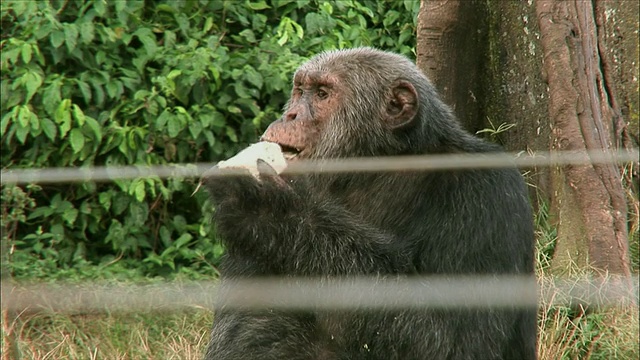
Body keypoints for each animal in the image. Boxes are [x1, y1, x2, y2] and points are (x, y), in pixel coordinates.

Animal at [201, 47, 536, 360]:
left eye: (322, 94)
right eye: (300, 91)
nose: (291, 115)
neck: (374, 171)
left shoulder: (484, 195)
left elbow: (456, 338)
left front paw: (267, 209)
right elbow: (249, 332)